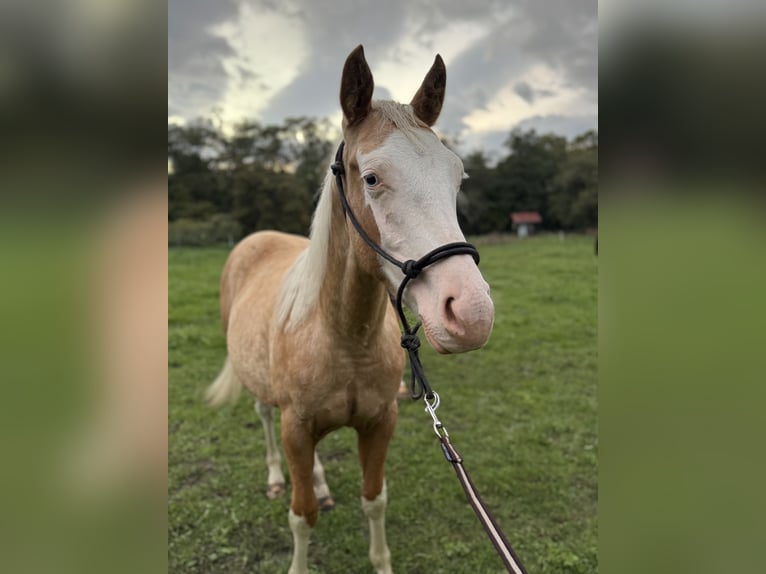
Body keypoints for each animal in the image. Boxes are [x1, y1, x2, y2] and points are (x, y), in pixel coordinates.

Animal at [206, 45, 495, 574]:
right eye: (373, 178)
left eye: (457, 178)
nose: (471, 314)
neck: (342, 336)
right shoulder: (297, 429)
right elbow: (301, 516)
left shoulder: (380, 423)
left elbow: (374, 499)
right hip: (264, 397)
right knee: (264, 419)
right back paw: (276, 477)